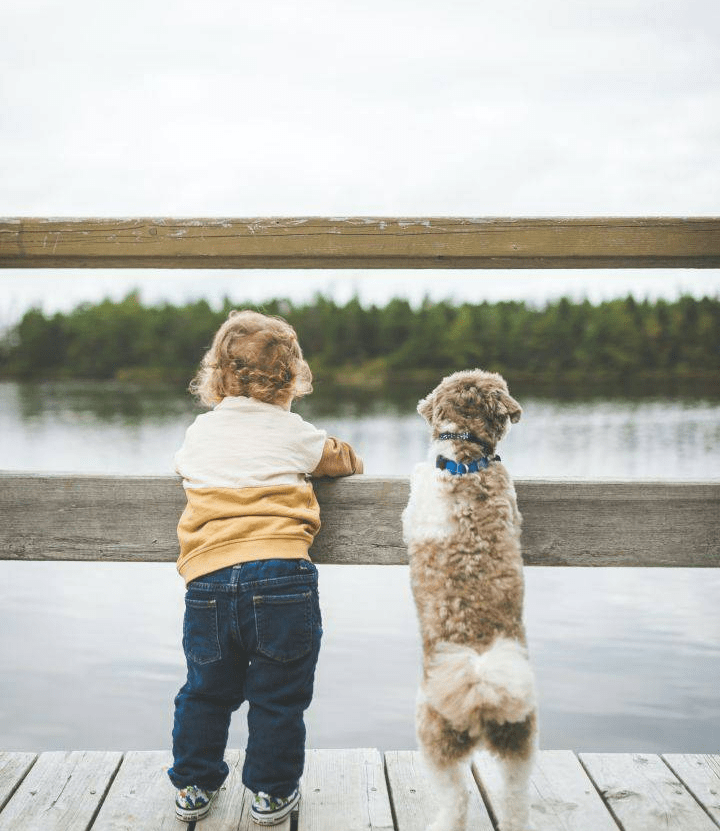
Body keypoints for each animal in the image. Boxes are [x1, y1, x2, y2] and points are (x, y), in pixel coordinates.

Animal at [402, 370, 536, 831]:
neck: (466, 458)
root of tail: (481, 693)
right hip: (518, 745)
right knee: (514, 803)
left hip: (433, 740)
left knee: (456, 799)